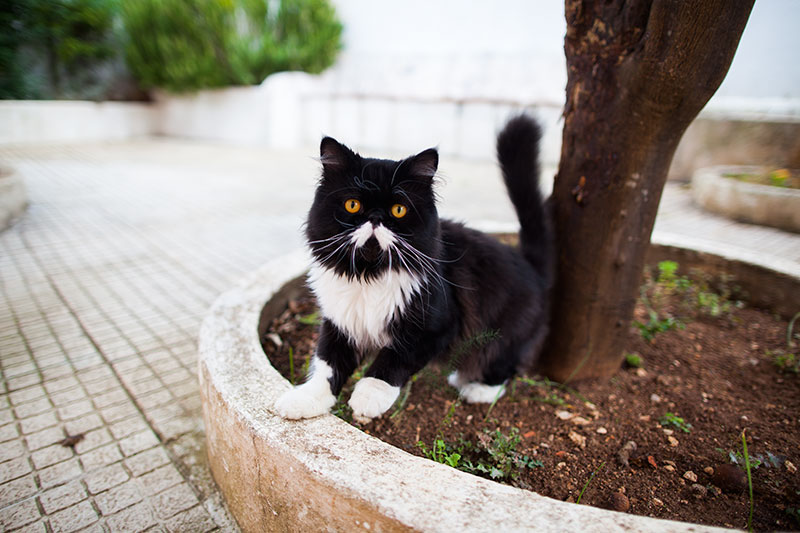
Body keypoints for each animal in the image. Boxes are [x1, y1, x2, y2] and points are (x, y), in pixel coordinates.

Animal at [274, 115, 552, 420]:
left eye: (399, 210)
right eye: (352, 204)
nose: (375, 218)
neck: (369, 276)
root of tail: (530, 265)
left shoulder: (435, 328)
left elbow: (392, 362)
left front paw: (368, 398)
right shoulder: (340, 323)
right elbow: (326, 365)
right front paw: (305, 400)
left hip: (505, 333)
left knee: (505, 366)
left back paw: (475, 388)